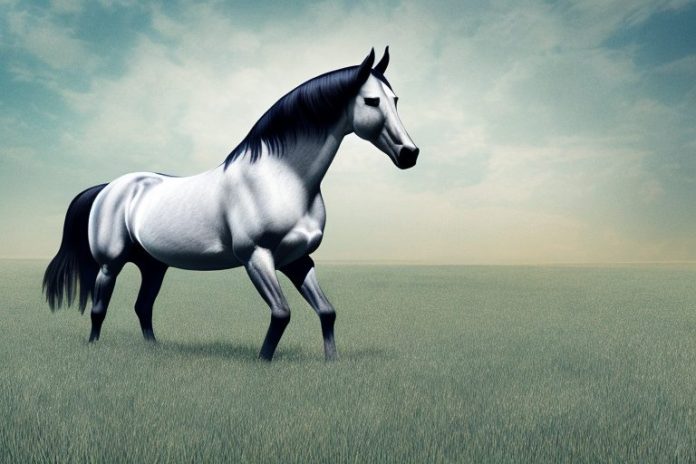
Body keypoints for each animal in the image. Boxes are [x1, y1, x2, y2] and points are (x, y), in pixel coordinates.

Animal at [43, 47, 419, 361]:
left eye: (396, 99)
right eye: (372, 101)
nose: (409, 154)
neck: (281, 179)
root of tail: (108, 187)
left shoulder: (297, 260)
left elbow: (327, 311)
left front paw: (332, 362)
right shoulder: (256, 257)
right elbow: (282, 313)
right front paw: (263, 362)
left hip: (153, 265)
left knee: (143, 307)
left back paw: (154, 349)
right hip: (111, 263)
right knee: (99, 308)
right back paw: (95, 347)